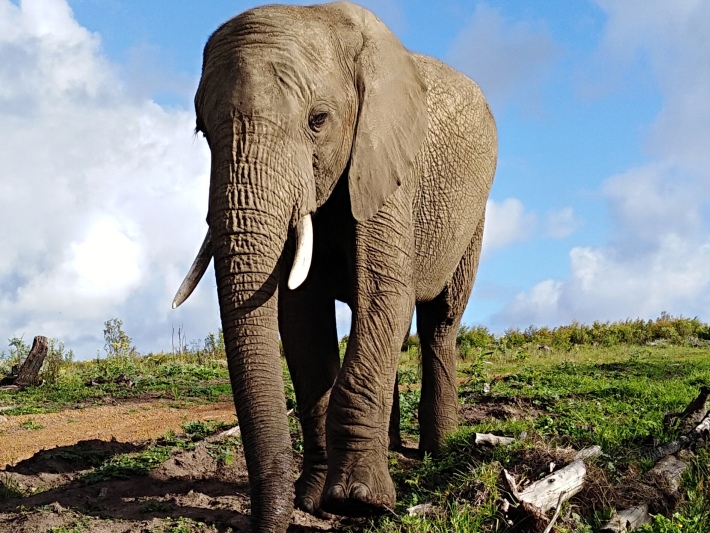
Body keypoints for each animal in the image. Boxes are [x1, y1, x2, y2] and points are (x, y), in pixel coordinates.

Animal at [175, 3, 498, 528]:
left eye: (318, 120)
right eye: (203, 131)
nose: (266, 523)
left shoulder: (389, 169)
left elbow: (385, 295)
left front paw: (357, 502)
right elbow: (301, 318)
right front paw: (312, 501)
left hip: (474, 214)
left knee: (440, 320)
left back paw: (439, 451)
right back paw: (394, 448)